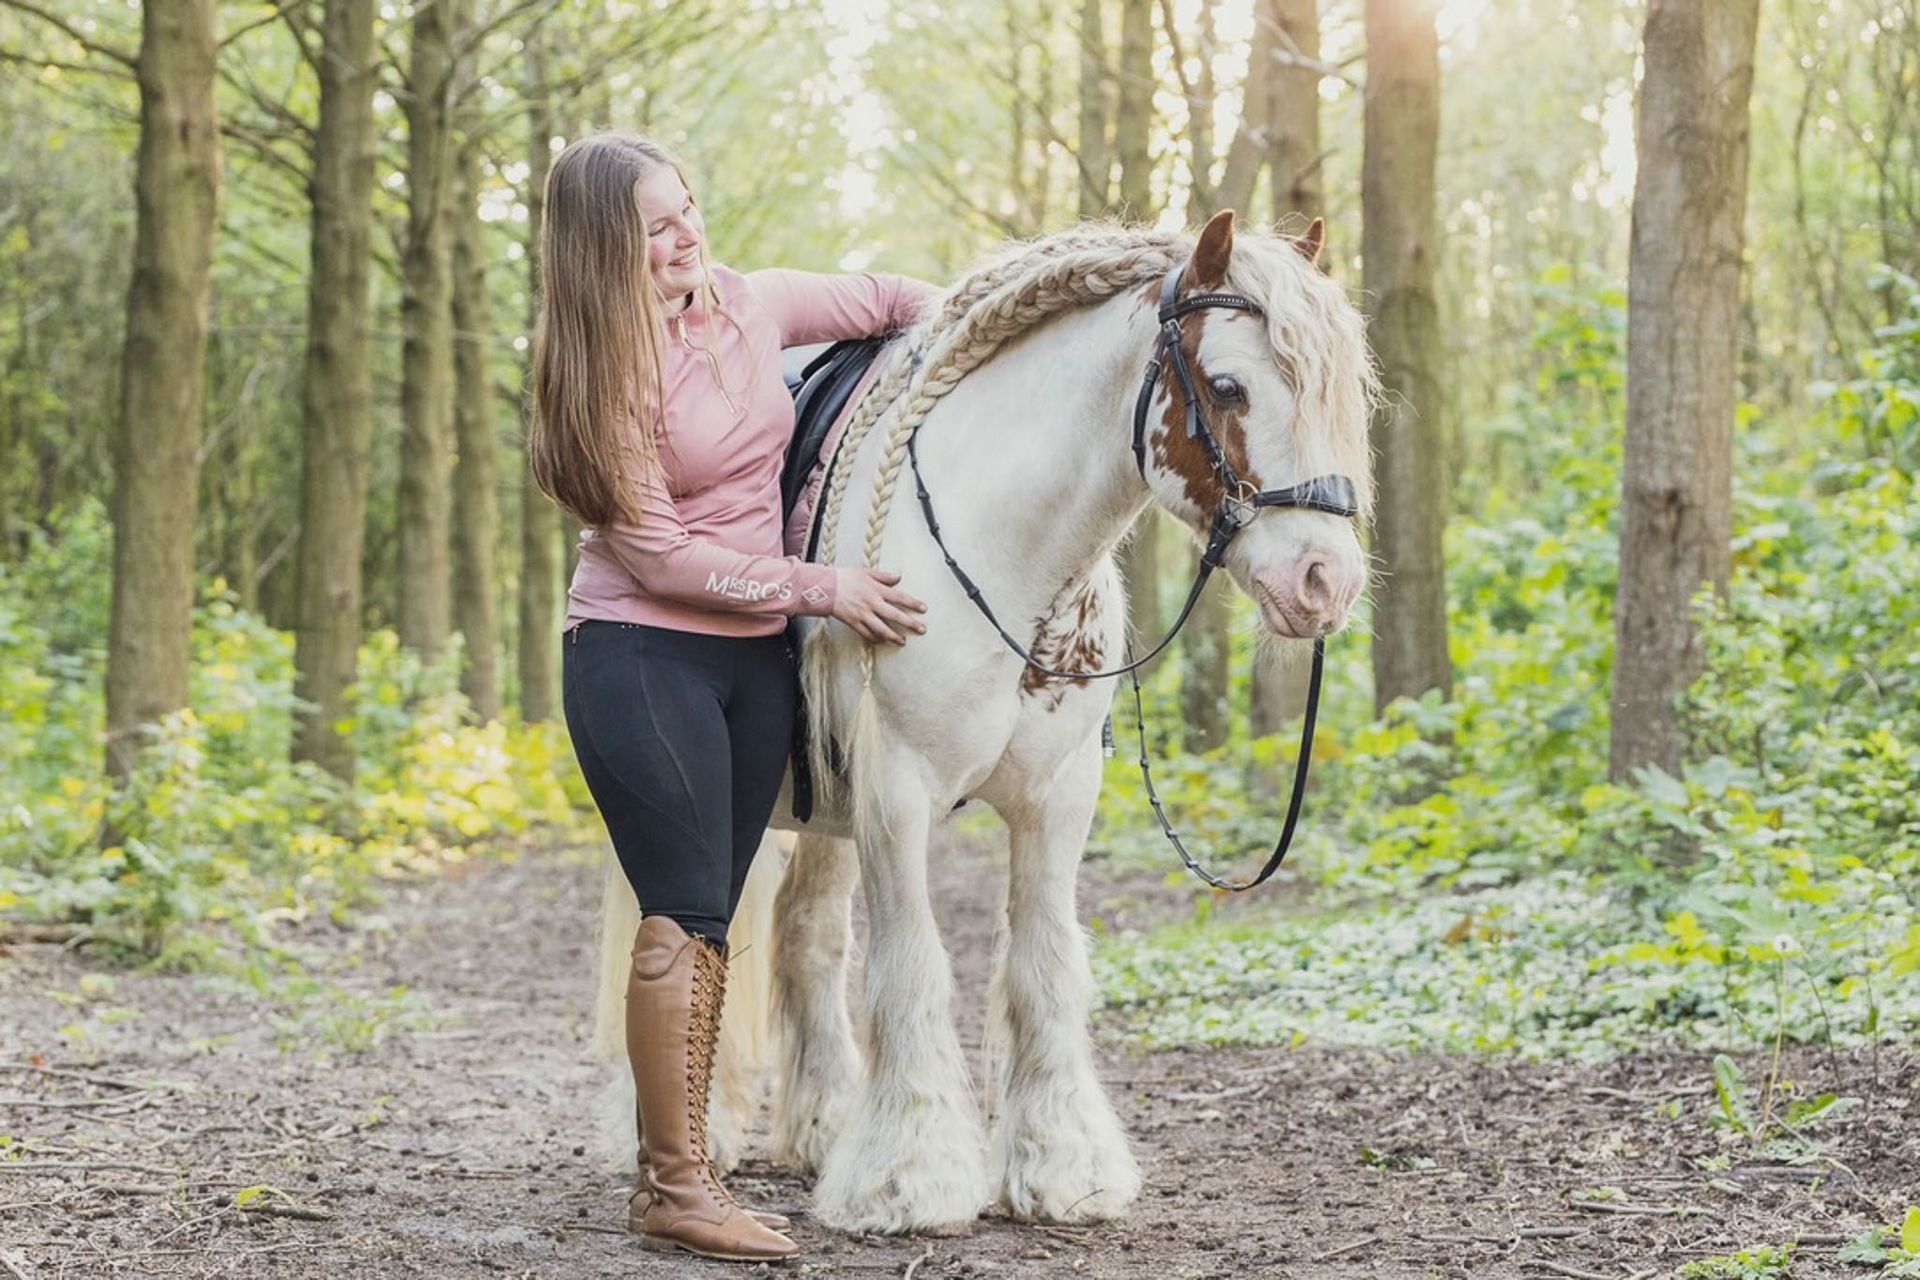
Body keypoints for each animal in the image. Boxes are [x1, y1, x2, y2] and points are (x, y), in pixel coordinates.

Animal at [589, 210, 1378, 1236]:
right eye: (1232, 385)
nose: (1326, 582)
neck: (1007, 554)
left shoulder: (1057, 800)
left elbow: (1042, 967)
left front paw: (1060, 1168)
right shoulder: (897, 797)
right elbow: (912, 968)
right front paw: (906, 1177)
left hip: (819, 813)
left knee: (806, 939)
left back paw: (823, 1127)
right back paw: (693, 1133)